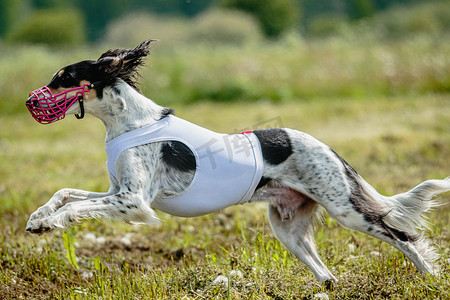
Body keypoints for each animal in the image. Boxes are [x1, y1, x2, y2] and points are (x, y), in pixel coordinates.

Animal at [25, 39, 450, 282]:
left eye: (64, 77)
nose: (30, 99)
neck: (131, 122)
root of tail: (330, 148)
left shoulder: (135, 201)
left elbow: (76, 206)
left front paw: (49, 223)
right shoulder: (117, 191)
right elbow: (66, 192)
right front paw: (37, 218)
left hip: (347, 210)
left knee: (402, 236)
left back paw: (429, 275)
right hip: (287, 228)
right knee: (328, 277)